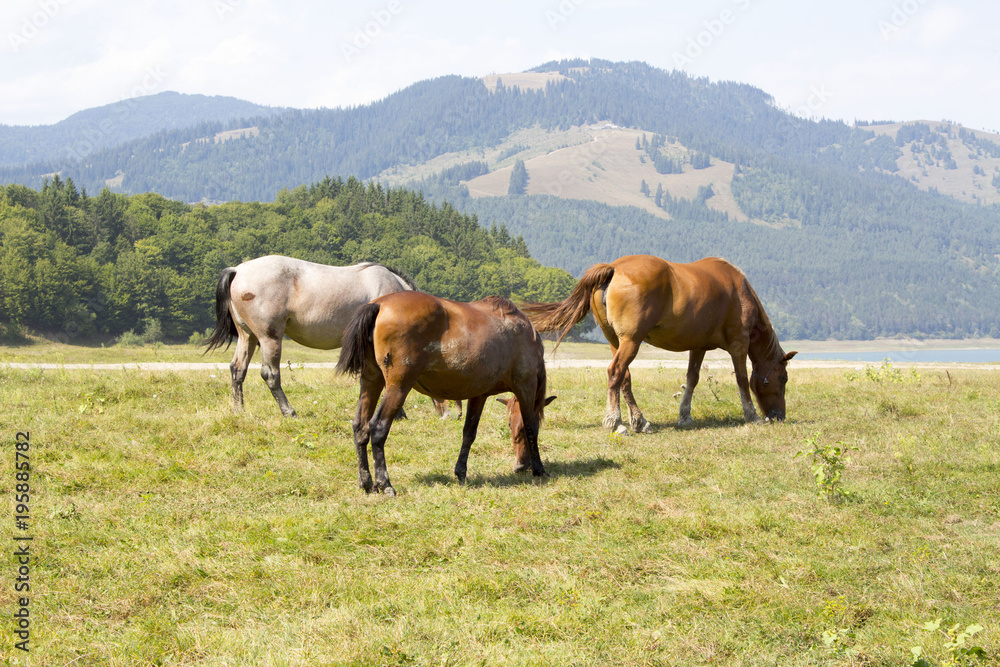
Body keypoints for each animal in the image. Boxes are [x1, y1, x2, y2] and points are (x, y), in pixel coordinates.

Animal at [206, 253, 460, 420]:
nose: (455, 415)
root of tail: (238, 270)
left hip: (247, 337)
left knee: (237, 370)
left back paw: (239, 410)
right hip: (269, 338)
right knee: (270, 374)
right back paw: (289, 411)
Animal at [336, 292, 556, 496]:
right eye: (512, 426)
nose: (519, 466)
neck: (521, 332)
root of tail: (380, 304)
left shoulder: (479, 394)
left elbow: (469, 433)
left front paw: (461, 472)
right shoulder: (526, 386)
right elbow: (531, 426)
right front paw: (539, 469)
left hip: (372, 382)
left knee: (360, 426)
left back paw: (366, 482)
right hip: (398, 387)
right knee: (378, 427)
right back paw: (385, 484)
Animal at [524, 256, 796, 434]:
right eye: (783, 379)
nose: (778, 416)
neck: (738, 290)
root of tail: (614, 268)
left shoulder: (698, 347)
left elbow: (692, 379)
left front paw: (684, 415)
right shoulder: (739, 344)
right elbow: (741, 380)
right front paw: (751, 415)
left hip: (616, 341)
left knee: (624, 378)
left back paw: (639, 420)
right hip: (631, 341)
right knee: (615, 373)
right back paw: (616, 421)